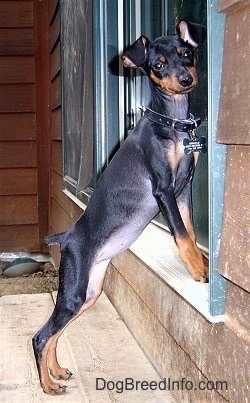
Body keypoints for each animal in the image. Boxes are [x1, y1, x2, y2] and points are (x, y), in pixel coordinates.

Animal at [31, 19, 207, 394]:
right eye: (158, 65)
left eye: (186, 53)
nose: (186, 79)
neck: (172, 125)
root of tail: (66, 238)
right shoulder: (164, 190)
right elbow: (182, 235)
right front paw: (198, 271)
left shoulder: (184, 191)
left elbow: (190, 229)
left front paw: (202, 262)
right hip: (75, 291)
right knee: (41, 336)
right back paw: (47, 385)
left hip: (88, 292)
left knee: (53, 333)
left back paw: (57, 372)